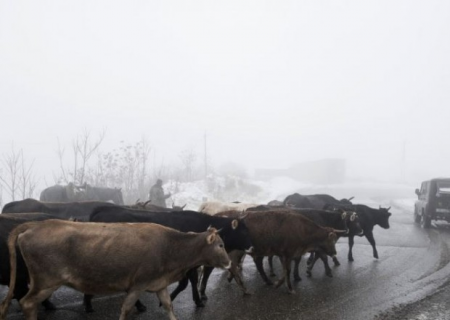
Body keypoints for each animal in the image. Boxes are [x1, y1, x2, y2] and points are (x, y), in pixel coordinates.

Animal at [0, 220, 230, 320]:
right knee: (27, 303)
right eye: (220, 245)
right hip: (45, 281)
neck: (171, 248)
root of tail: (36, 224)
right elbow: (126, 308)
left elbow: (168, 306)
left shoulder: (159, 284)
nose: (228, 263)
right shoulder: (138, 284)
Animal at [86, 206, 251, 312]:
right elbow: (186, 283)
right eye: (243, 231)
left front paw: (196, 300)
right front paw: (172, 300)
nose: (252, 246)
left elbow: (190, 281)